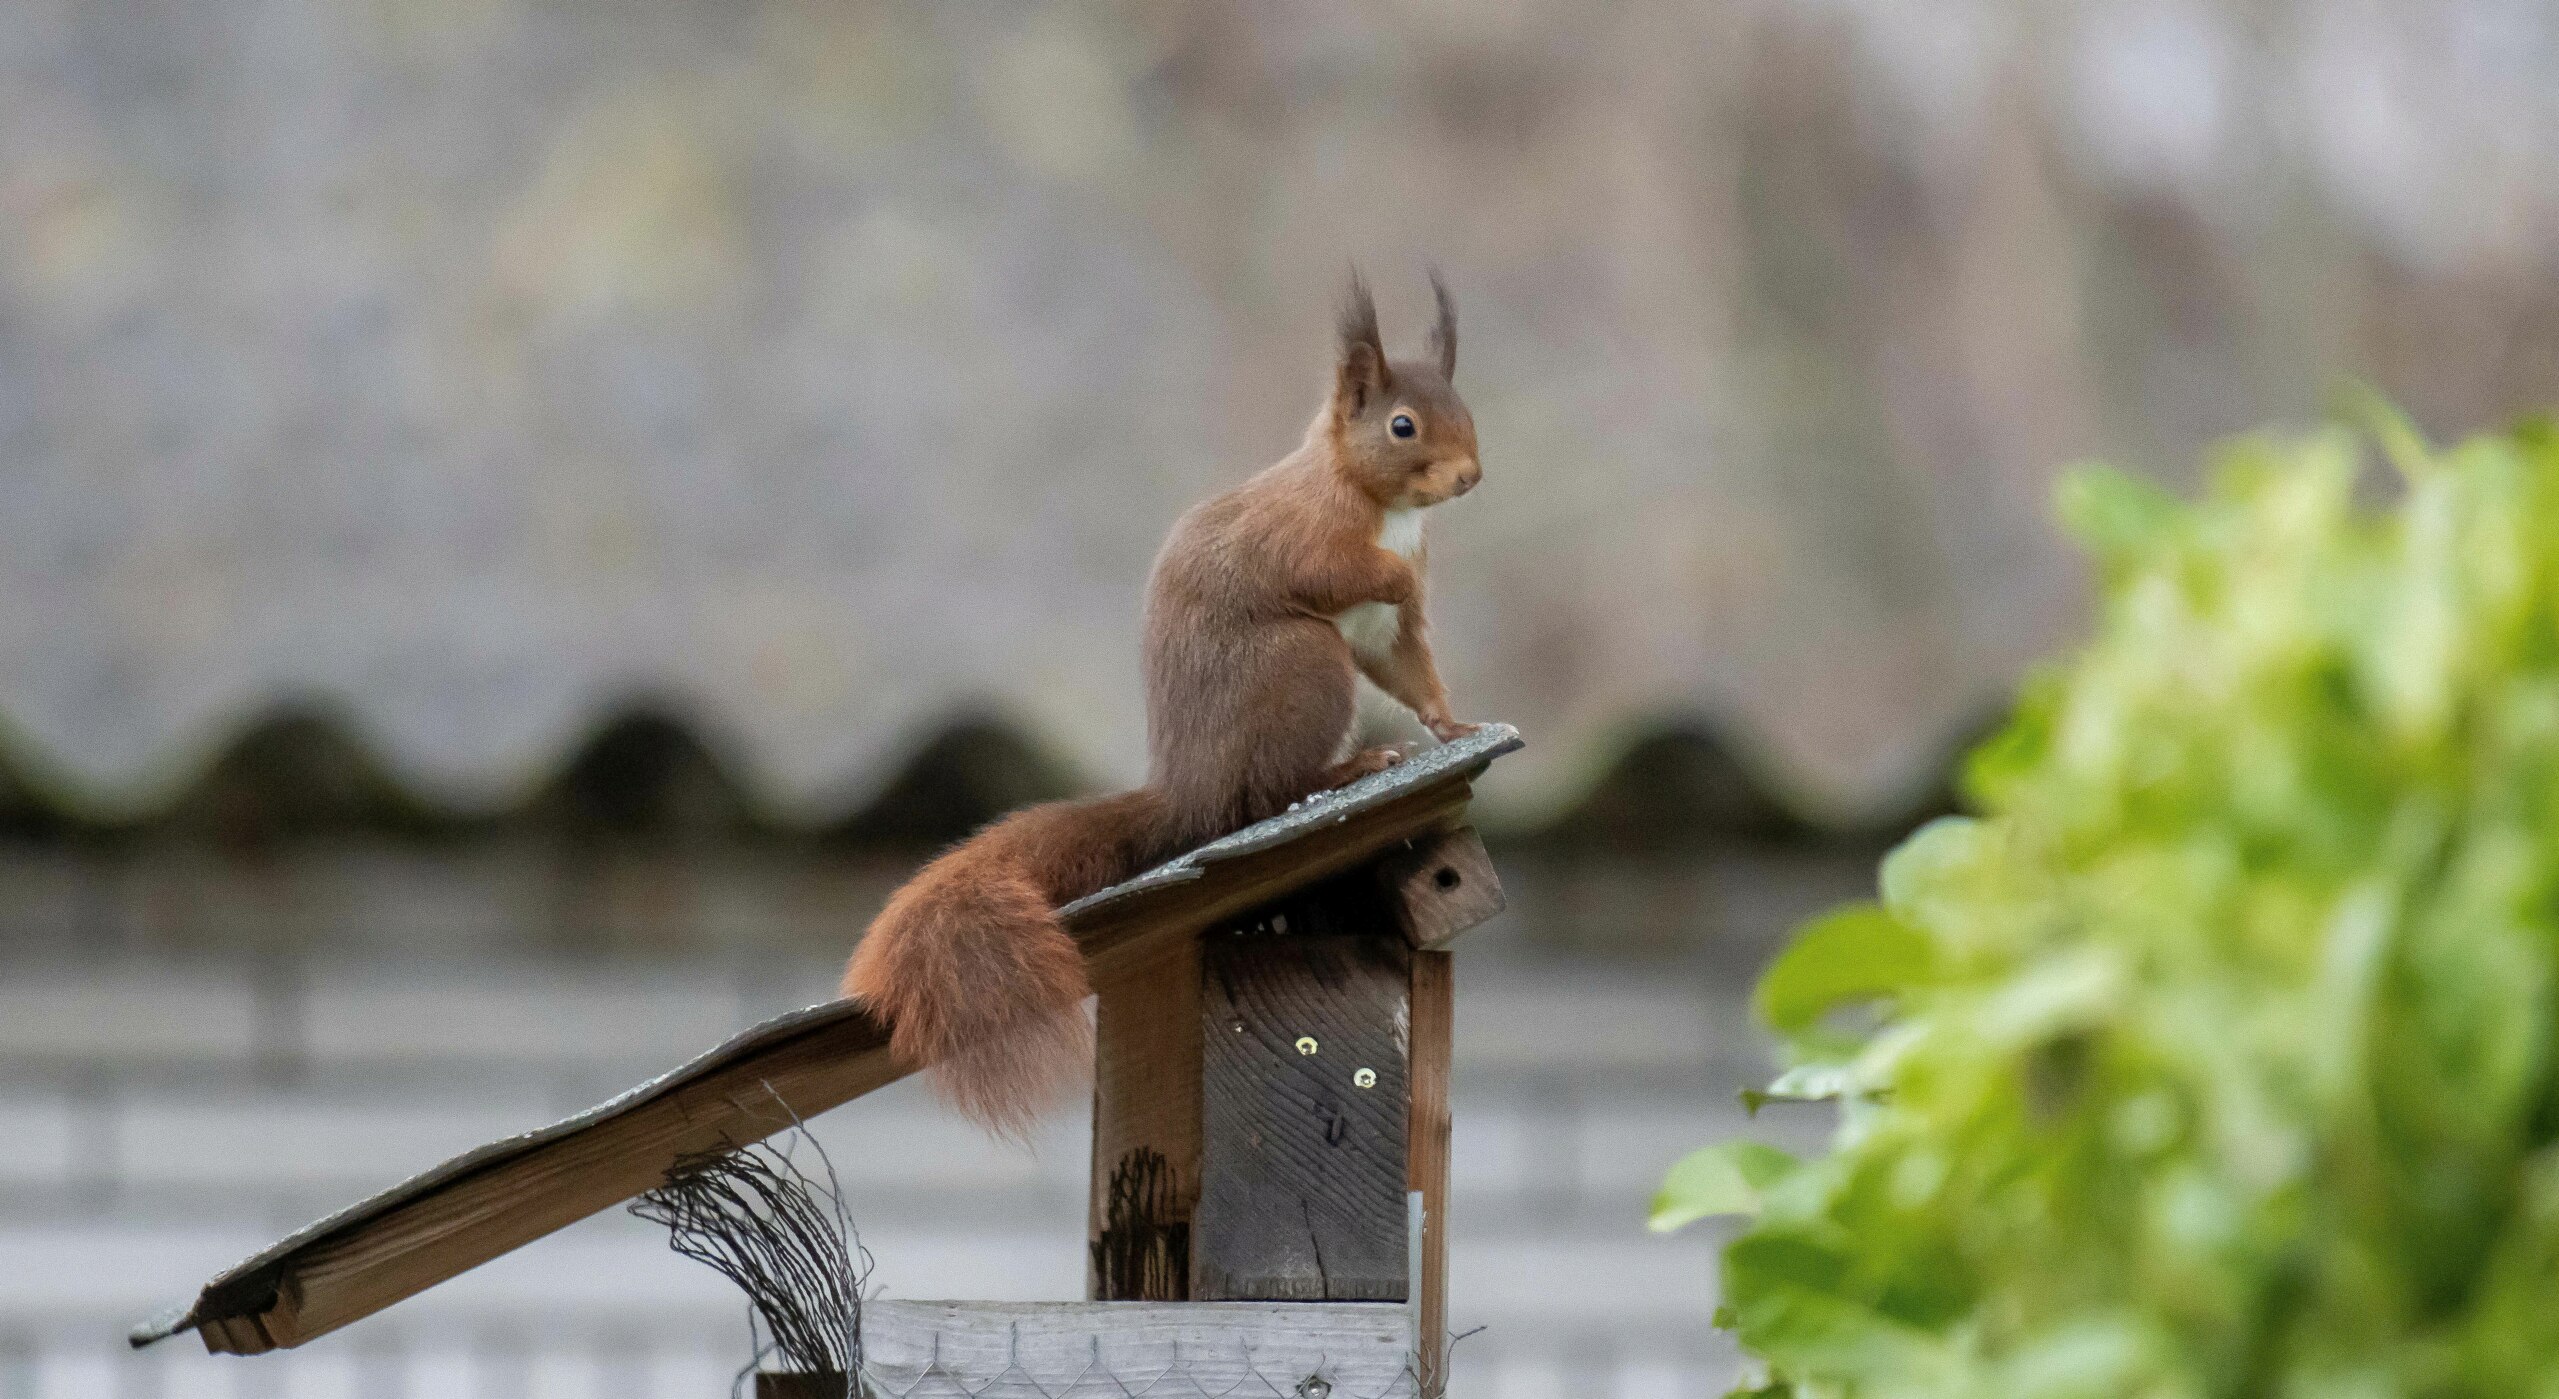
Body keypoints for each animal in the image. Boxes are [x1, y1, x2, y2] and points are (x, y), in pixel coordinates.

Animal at [839, 276, 1484, 1140]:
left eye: (1464, 406)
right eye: (1402, 424)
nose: (1470, 475)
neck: (1380, 506)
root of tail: (1189, 790)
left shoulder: (1393, 632)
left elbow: (1409, 669)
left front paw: (1453, 724)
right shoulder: (1300, 534)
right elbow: (1329, 570)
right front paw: (1390, 575)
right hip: (1301, 667)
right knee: (1262, 795)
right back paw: (1346, 767)